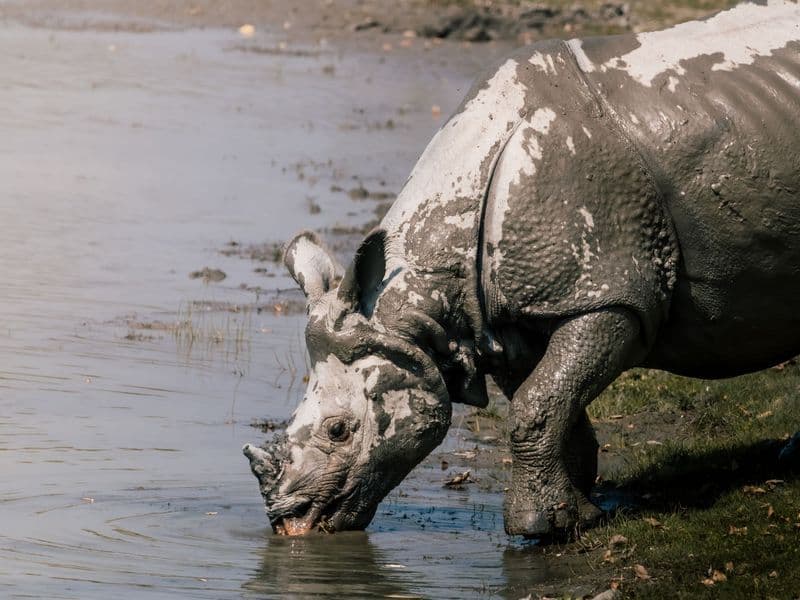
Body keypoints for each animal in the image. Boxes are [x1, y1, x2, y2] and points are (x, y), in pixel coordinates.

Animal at [244, 0, 800, 538]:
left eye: (340, 430)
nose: (288, 522)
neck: (416, 300)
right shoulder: (505, 318)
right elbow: (552, 403)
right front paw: (578, 509)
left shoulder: (610, 291)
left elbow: (538, 403)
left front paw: (540, 528)